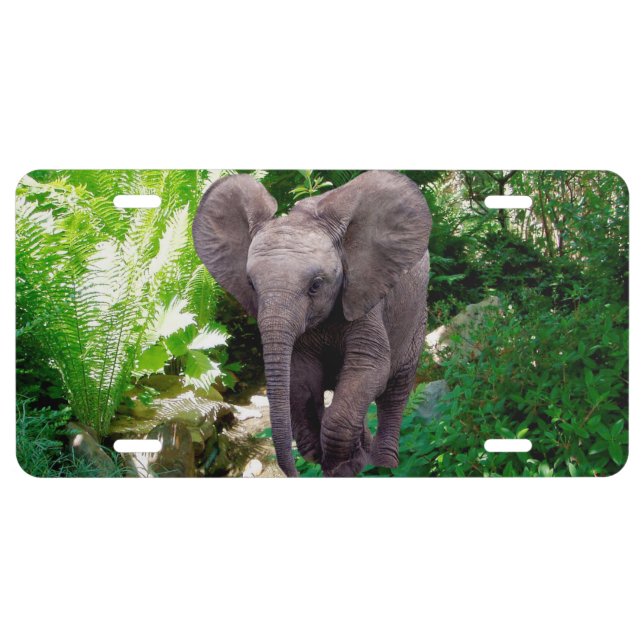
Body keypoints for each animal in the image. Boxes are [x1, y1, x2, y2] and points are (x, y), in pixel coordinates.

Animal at [193, 171, 431, 477]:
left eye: (316, 285)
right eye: (251, 285)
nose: (294, 472)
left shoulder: (365, 298)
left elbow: (370, 368)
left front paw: (340, 466)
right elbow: (302, 377)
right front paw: (329, 460)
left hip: (416, 314)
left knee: (395, 390)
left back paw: (384, 464)